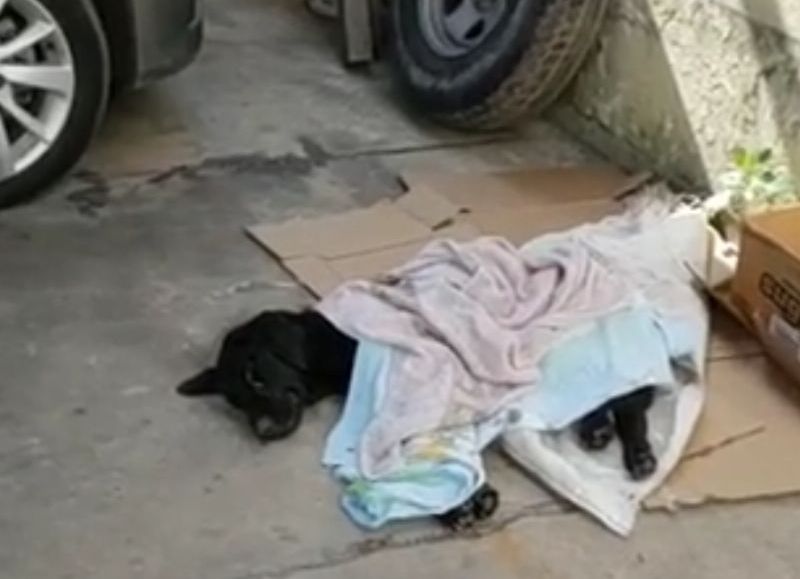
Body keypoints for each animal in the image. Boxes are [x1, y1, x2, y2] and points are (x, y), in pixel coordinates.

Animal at [177, 309, 499, 530]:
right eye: (237, 404)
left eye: (255, 377)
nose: (262, 431)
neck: (319, 348)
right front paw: (462, 501)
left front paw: (459, 503)